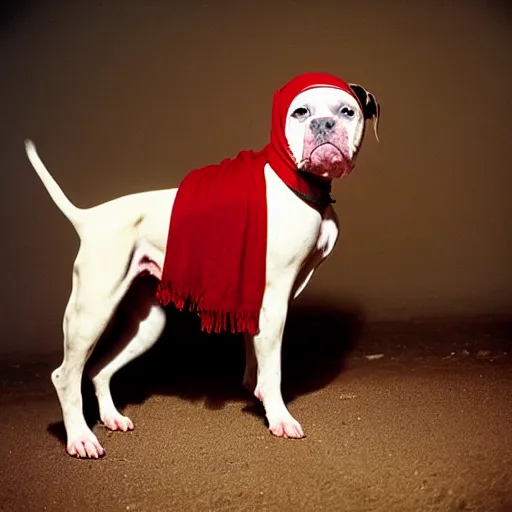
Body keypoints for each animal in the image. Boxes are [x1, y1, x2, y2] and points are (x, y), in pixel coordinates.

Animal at [24, 73, 378, 460]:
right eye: (301, 112)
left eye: (347, 111)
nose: (324, 124)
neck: (298, 183)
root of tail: (88, 218)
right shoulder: (273, 302)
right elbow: (273, 370)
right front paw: (279, 418)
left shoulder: (257, 302)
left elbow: (255, 358)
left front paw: (256, 391)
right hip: (92, 313)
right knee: (66, 376)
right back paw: (80, 438)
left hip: (145, 325)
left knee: (99, 371)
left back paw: (111, 417)